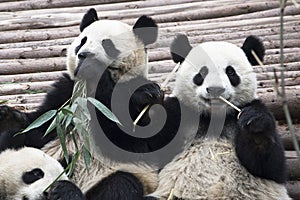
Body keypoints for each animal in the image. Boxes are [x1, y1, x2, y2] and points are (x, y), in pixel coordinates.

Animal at [0, 8, 166, 200]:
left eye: (108, 44)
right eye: (82, 41)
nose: (84, 55)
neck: (90, 88)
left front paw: (147, 93)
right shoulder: (64, 95)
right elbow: (40, 128)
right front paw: (8, 117)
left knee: (120, 185)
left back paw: (66, 191)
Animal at [145, 34, 290, 198]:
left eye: (231, 72)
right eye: (202, 73)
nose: (216, 89)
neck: (214, 117)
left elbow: (269, 166)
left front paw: (255, 125)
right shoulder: (180, 114)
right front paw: (146, 95)